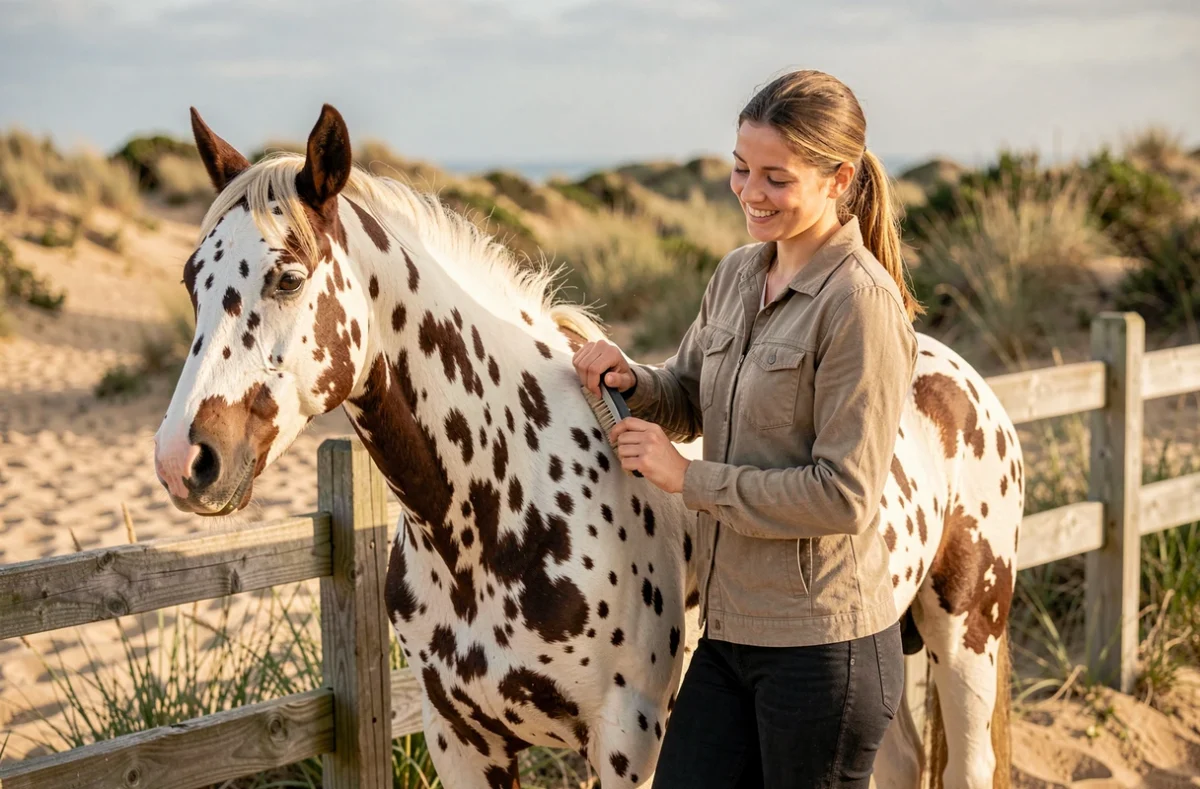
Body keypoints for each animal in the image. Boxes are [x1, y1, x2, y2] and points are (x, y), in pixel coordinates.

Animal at [154, 103, 1023, 789]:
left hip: (966, 641)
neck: (500, 505)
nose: (183, 460)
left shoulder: (626, 739)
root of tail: (960, 379)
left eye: (288, 276)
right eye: (193, 278)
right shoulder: (460, 741)